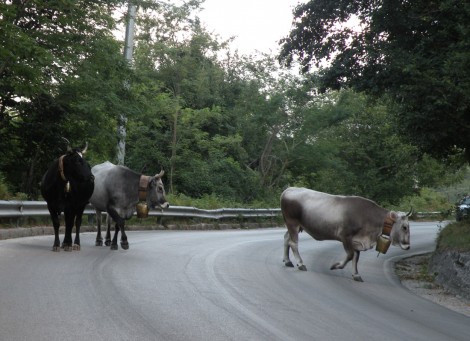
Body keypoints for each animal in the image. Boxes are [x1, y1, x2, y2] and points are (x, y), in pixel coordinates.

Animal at [280, 187, 410, 280]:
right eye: (404, 227)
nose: (408, 246)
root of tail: (289, 189)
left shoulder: (357, 241)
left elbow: (356, 258)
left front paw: (356, 275)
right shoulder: (345, 236)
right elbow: (351, 255)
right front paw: (336, 266)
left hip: (296, 226)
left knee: (286, 238)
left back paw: (287, 261)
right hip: (293, 223)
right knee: (293, 243)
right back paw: (300, 264)